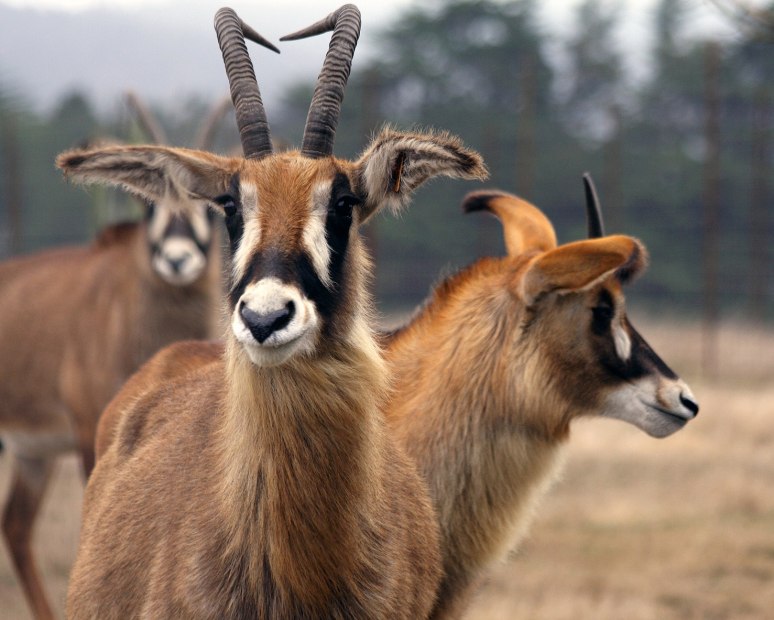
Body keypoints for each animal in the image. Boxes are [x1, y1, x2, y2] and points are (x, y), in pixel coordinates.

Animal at [0, 89, 227, 620]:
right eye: (149, 207)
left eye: (211, 210)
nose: (178, 261)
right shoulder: (88, 429)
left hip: (31, 455)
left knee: (16, 526)